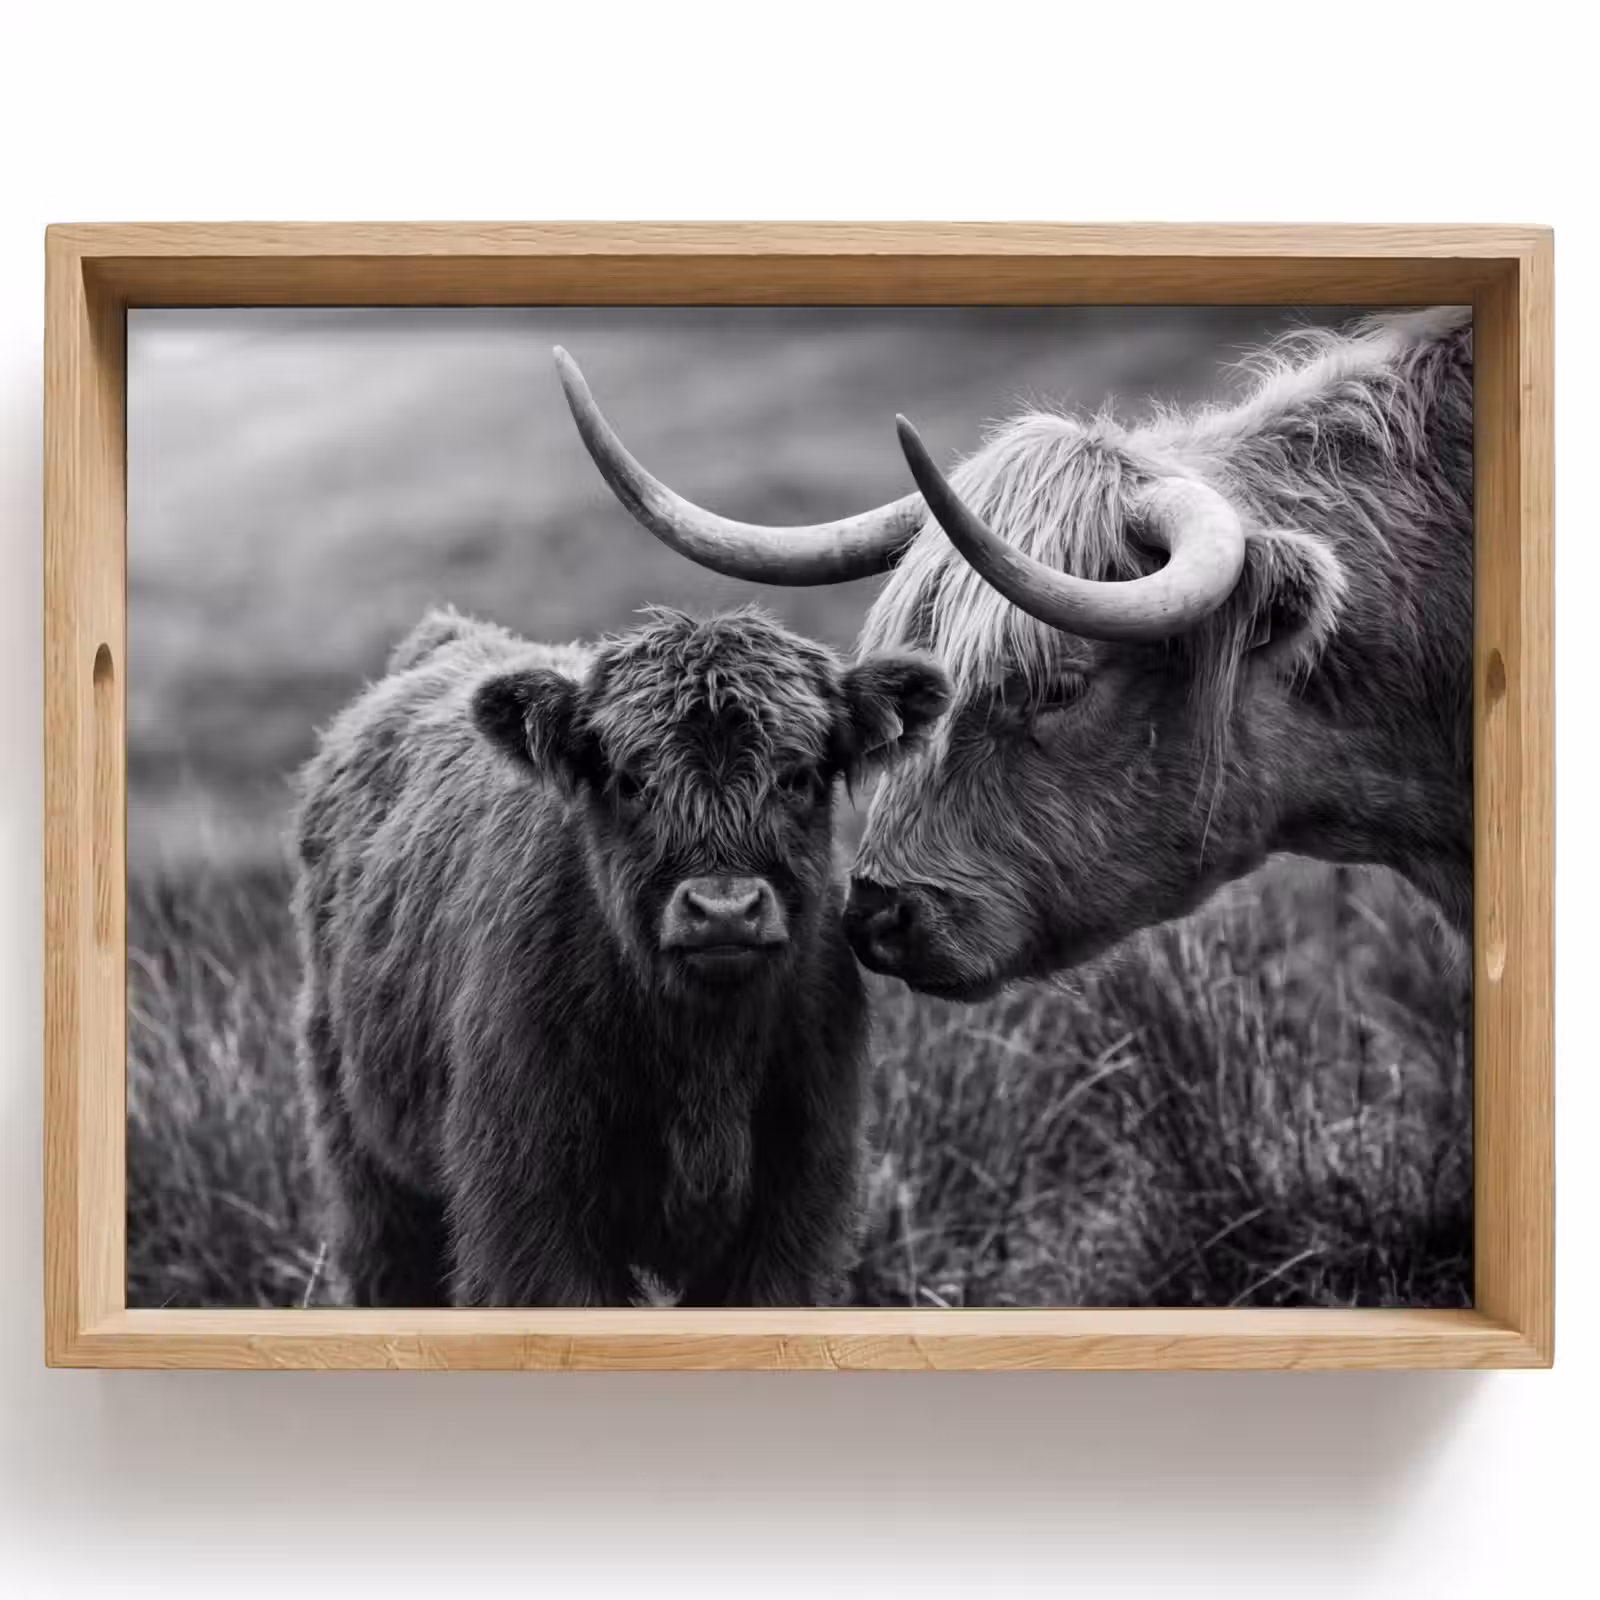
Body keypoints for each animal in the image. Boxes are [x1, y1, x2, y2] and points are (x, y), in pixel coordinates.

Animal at [292, 603, 948, 1305]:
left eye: (797, 777)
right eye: (633, 782)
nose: (723, 909)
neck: (703, 1053)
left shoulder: (796, 1199)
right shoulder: (530, 1203)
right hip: (364, 1155)